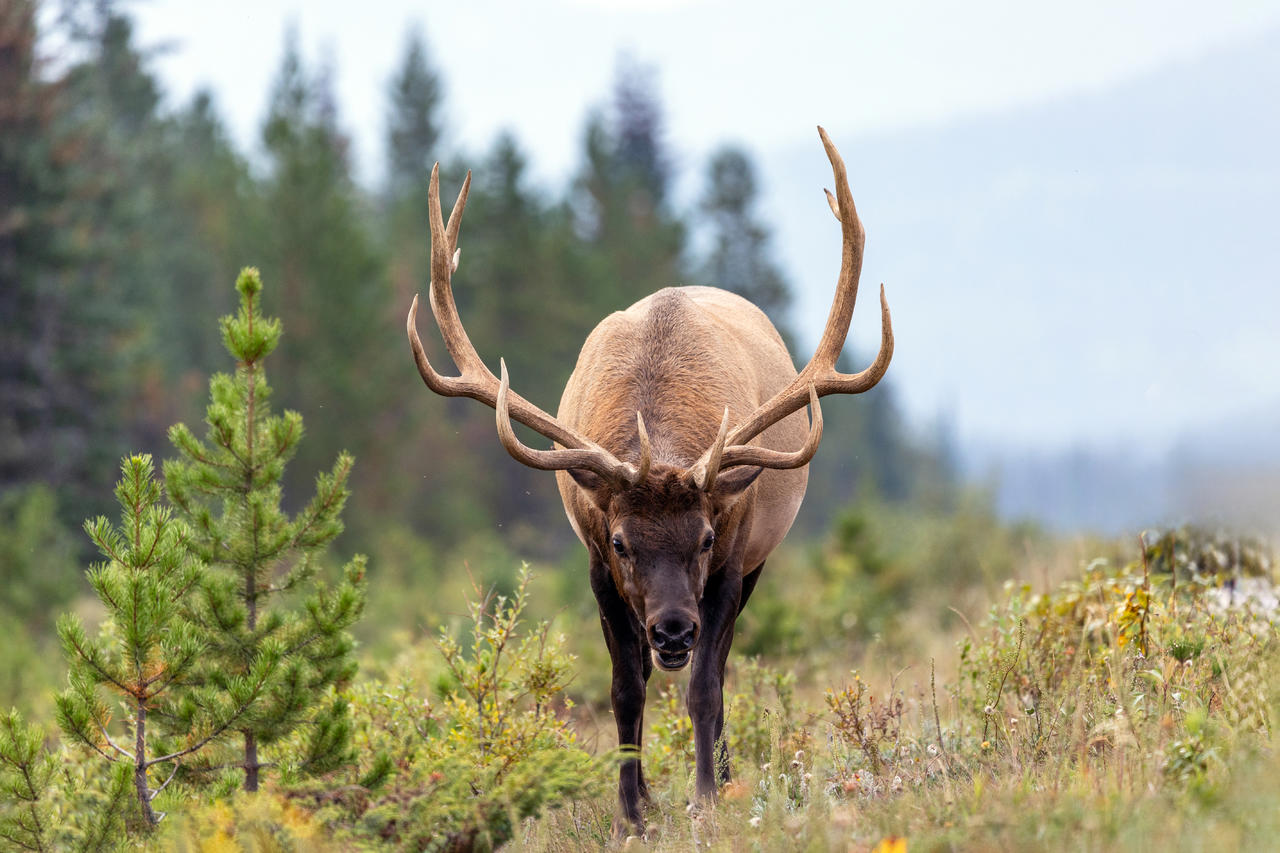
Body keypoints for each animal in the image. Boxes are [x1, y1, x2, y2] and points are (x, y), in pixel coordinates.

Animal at [407, 124, 890, 829]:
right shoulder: (596, 566)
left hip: (752, 569)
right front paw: (631, 812)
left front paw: (706, 798)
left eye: (706, 536)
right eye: (621, 541)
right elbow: (624, 689)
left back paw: (721, 772)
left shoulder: (733, 560)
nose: (673, 629)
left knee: (718, 669)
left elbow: (705, 687)